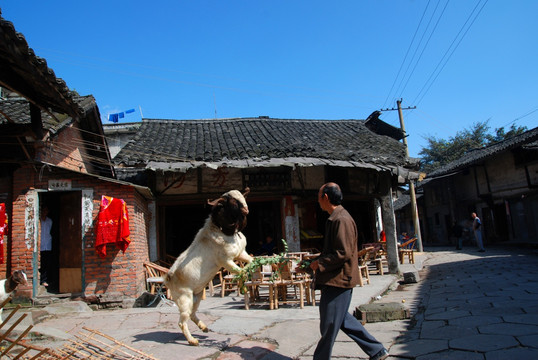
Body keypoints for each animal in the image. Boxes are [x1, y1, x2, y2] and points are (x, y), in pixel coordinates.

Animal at [164, 188, 252, 346]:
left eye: (242, 197)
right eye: (232, 202)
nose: (246, 210)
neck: (222, 230)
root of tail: (168, 278)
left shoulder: (241, 253)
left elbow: (251, 261)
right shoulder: (225, 261)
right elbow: (241, 271)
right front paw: (243, 287)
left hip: (197, 295)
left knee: (192, 314)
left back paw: (204, 328)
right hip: (184, 298)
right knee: (182, 320)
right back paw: (193, 340)